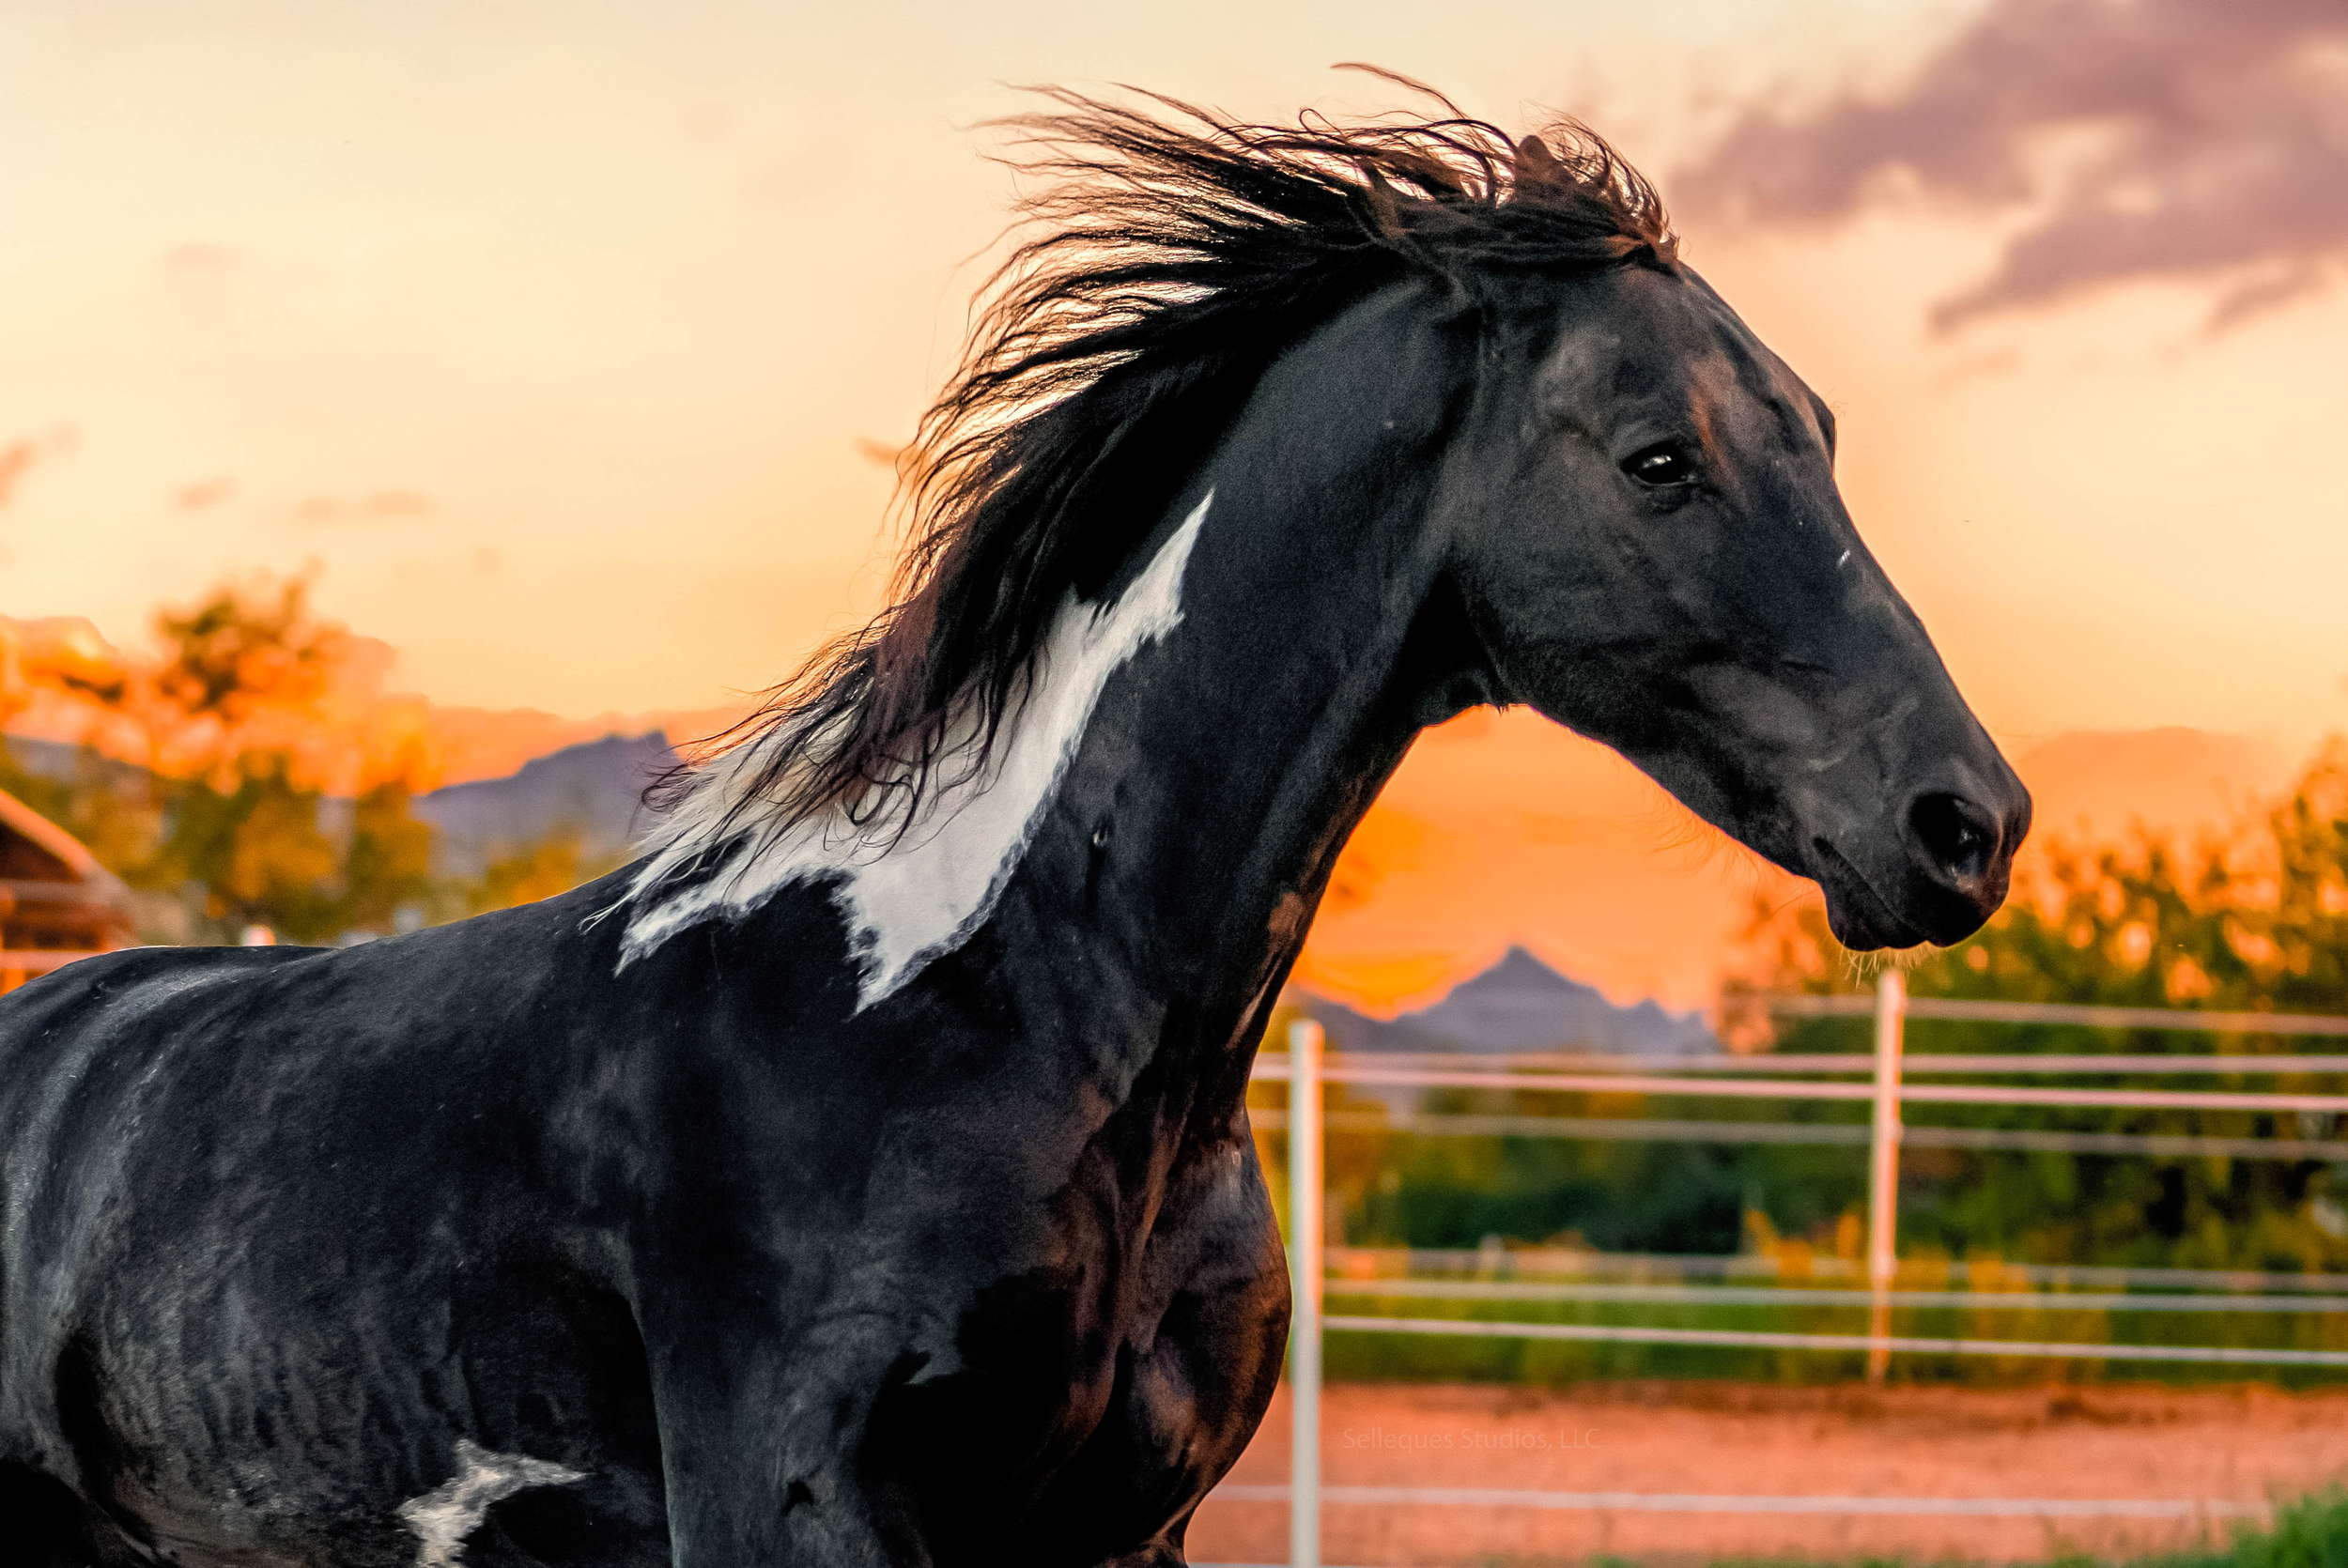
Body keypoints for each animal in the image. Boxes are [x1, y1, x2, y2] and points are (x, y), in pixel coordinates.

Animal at [0, 84, 2029, 1568]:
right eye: (1658, 458)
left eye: (1821, 429)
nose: (1964, 824)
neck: (982, 1007)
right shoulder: (797, 1524)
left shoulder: (1122, 1538)